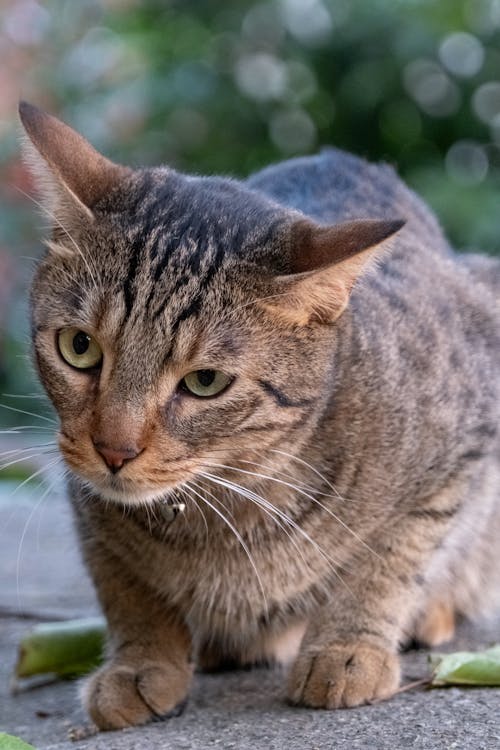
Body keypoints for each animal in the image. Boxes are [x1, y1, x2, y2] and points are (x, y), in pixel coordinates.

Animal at [19, 101, 500, 736]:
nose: (113, 450)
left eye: (205, 382)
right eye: (79, 348)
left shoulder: (462, 444)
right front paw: (142, 661)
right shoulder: (86, 500)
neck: (226, 503)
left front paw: (348, 647)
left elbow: (391, 560)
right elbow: (124, 584)